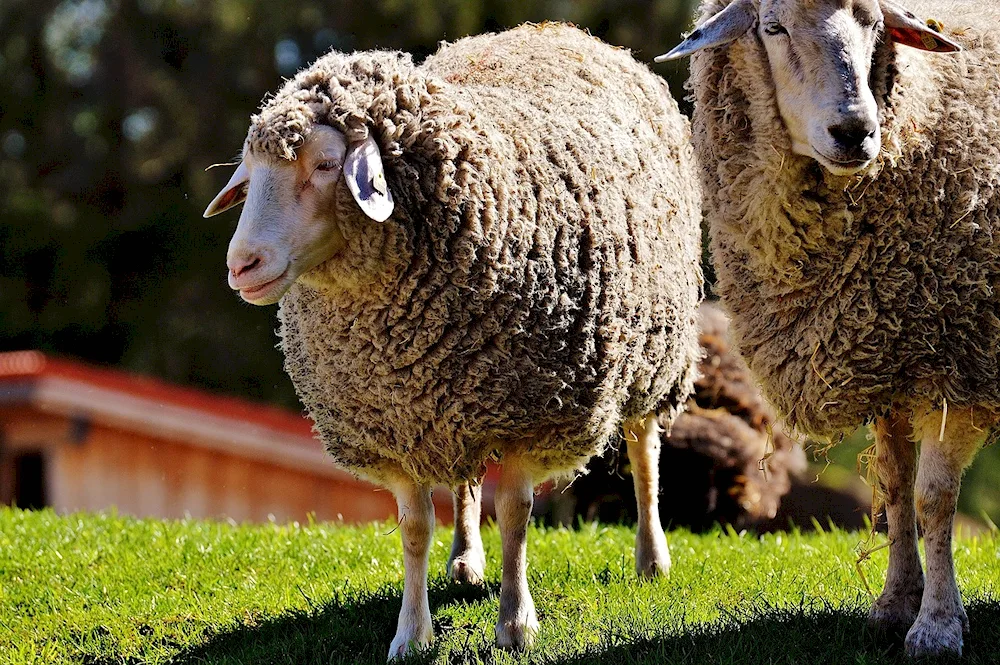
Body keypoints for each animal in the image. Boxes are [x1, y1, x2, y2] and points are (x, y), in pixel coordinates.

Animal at [205, 22, 704, 660]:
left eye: (325, 164)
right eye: (250, 170)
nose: (241, 266)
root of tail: (560, 30)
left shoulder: (530, 416)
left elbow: (516, 515)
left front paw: (516, 623)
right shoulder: (400, 426)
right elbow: (416, 529)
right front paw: (410, 633)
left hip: (657, 355)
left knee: (644, 453)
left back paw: (651, 557)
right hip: (457, 405)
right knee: (466, 484)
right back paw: (465, 560)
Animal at [664, 0, 1000, 656]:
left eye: (874, 26)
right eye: (773, 27)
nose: (856, 131)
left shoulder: (958, 359)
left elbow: (934, 499)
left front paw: (937, 626)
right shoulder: (887, 354)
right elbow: (896, 487)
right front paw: (895, 604)